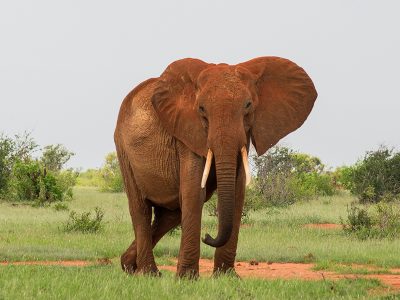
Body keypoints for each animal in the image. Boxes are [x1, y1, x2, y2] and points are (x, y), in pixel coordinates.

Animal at [114, 56, 318, 278]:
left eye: (248, 105)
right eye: (201, 109)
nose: (207, 236)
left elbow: (237, 193)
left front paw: (226, 277)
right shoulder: (187, 132)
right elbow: (195, 192)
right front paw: (187, 279)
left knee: (170, 215)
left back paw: (129, 266)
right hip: (123, 149)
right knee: (140, 208)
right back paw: (148, 273)